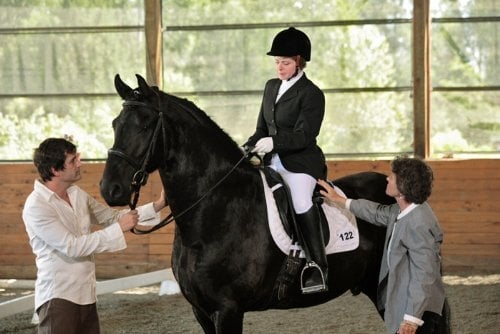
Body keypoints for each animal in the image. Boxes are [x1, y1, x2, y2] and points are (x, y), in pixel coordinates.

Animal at [100, 74, 394, 332]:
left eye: (145, 126)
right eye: (115, 124)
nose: (110, 189)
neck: (214, 208)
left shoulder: (228, 309)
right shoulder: (201, 311)